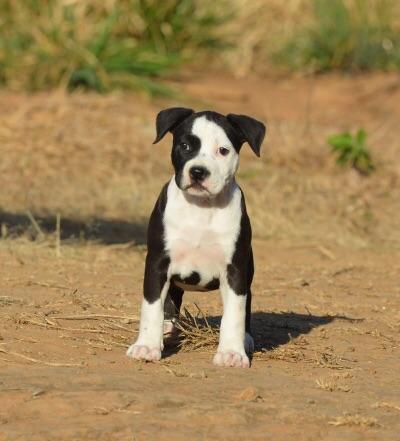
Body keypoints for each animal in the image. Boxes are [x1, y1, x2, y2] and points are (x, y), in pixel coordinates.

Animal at [127, 107, 266, 368]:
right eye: (185, 145)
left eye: (223, 150)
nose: (198, 171)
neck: (201, 208)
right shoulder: (158, 263)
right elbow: (151, 306)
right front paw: (147, 346)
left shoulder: (235, 270)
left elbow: (234, 313)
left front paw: (231, 352)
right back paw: (167, 328)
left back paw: (246, 338)